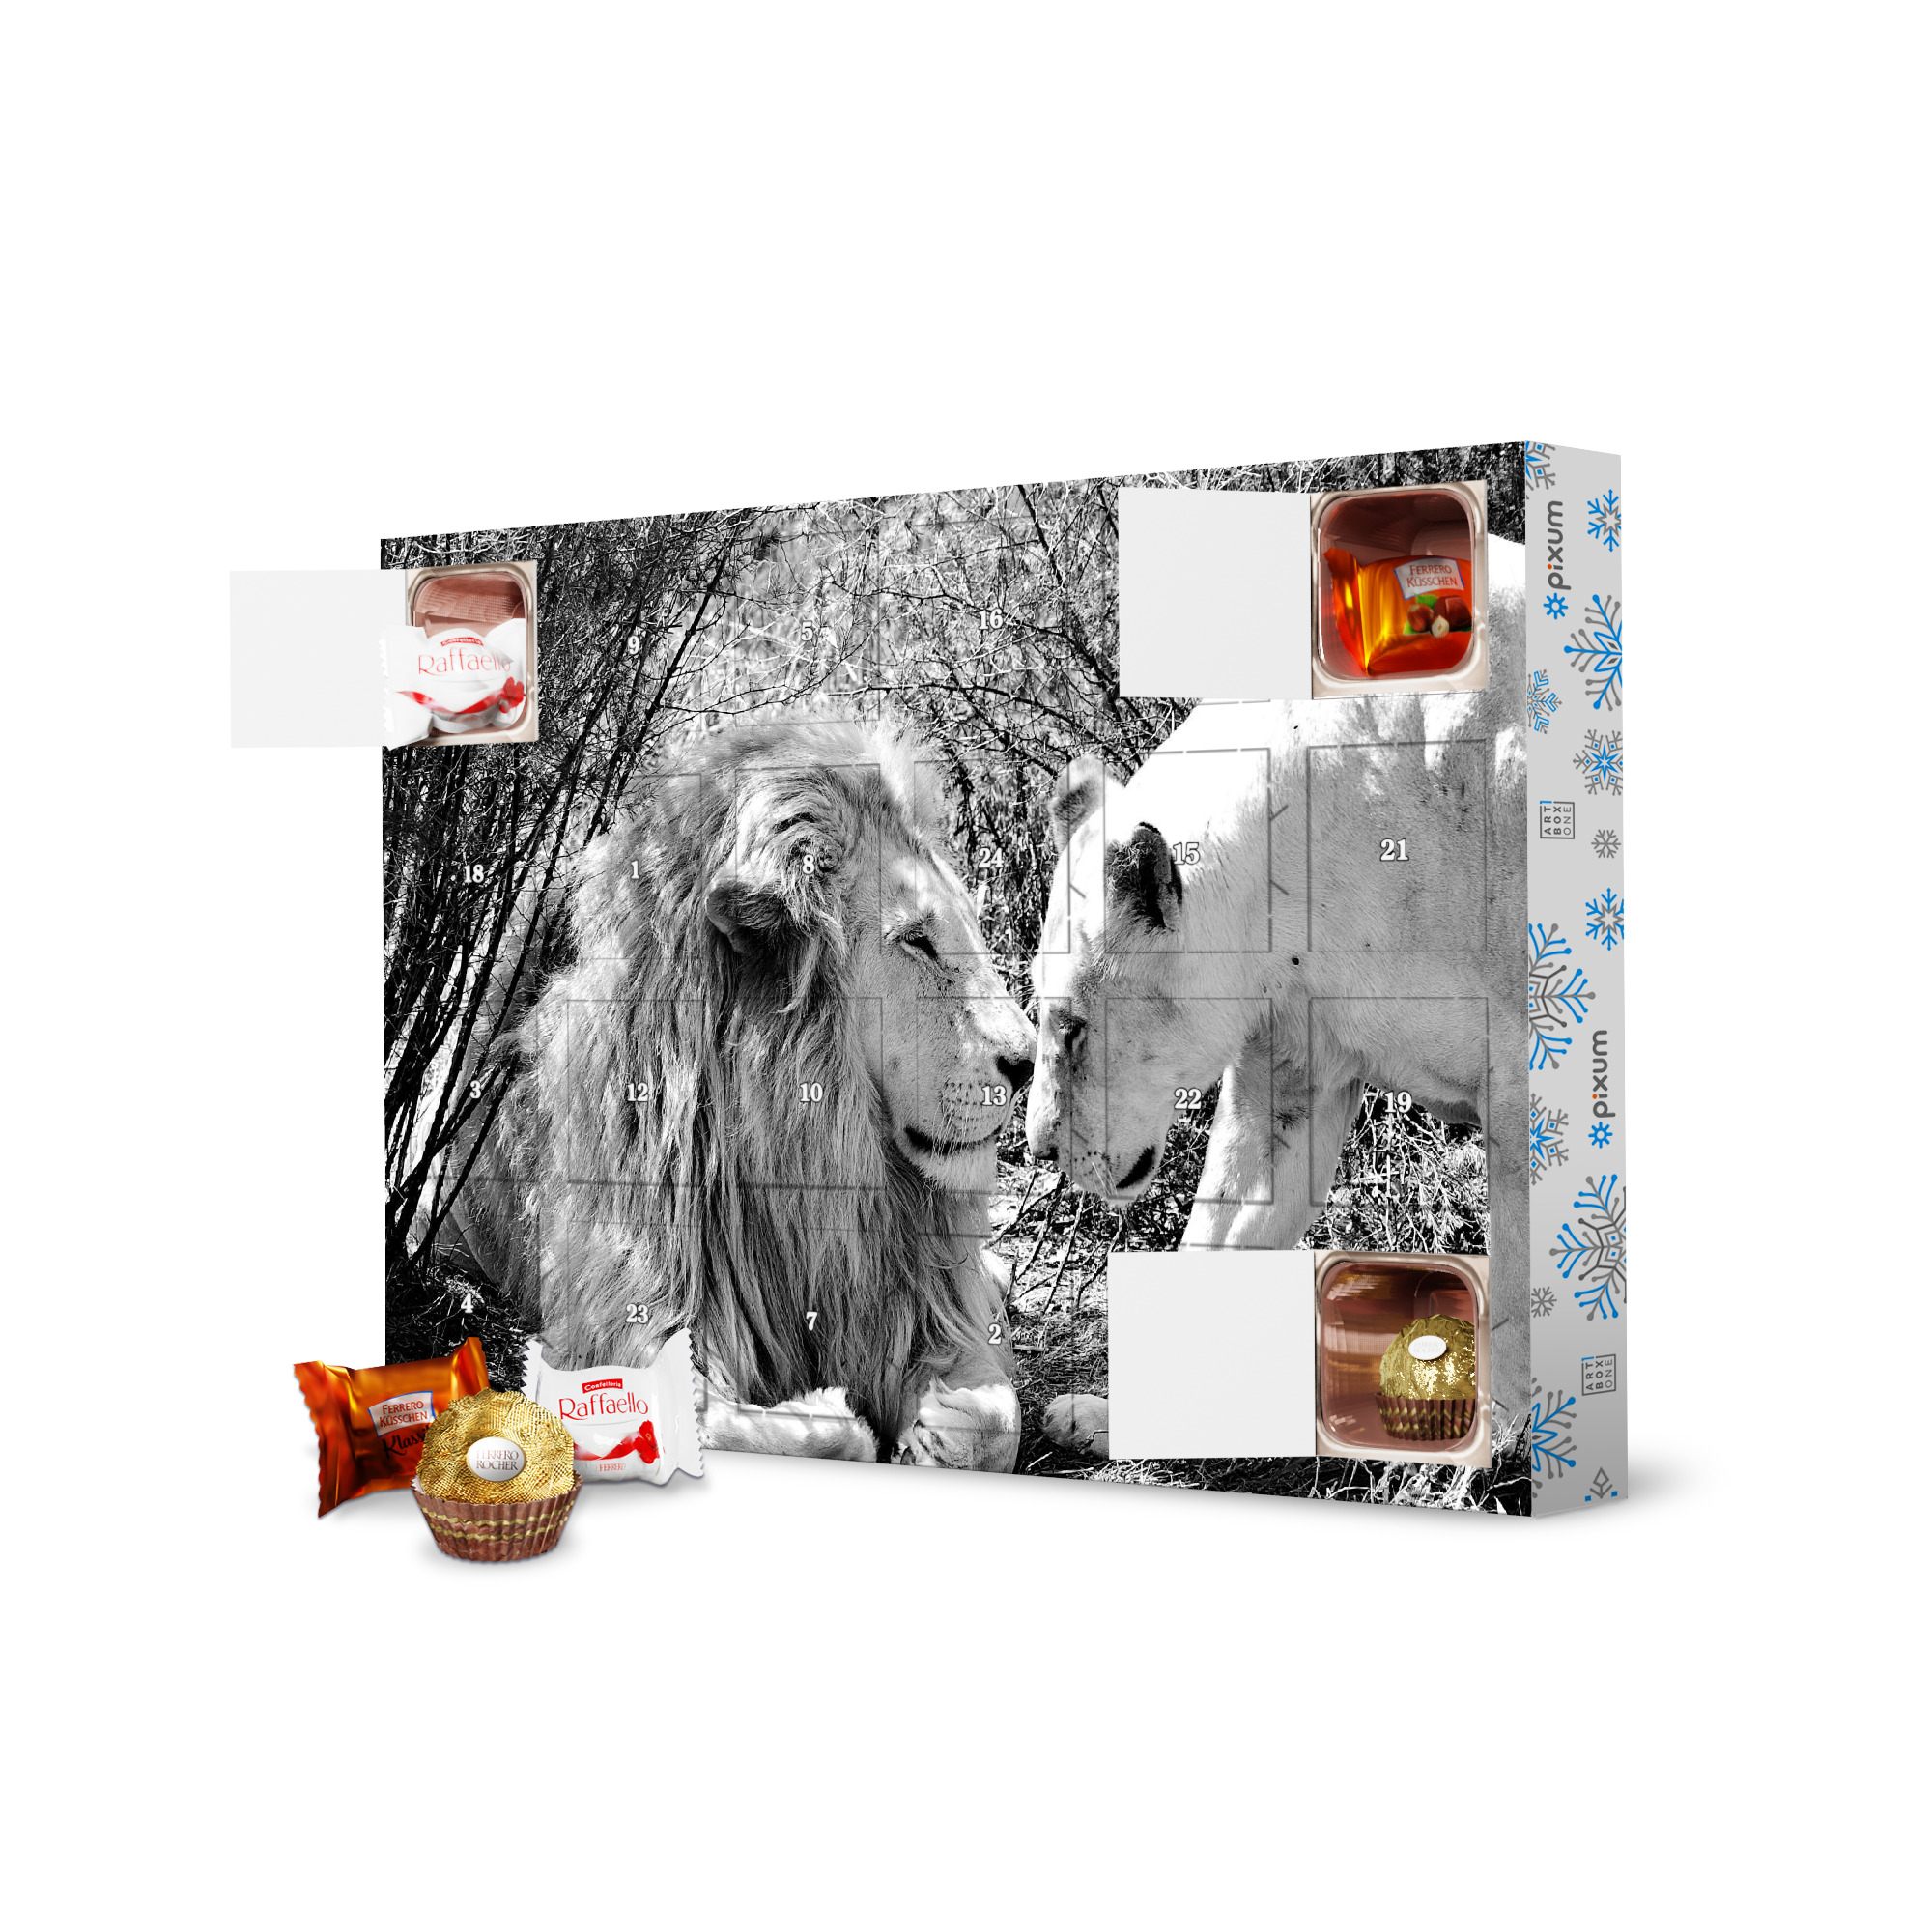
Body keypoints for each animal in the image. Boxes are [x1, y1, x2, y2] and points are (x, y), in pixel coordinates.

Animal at [446, 717, 1037, 1470]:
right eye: (917, 942)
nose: (1028, 1062)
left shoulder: (929, 1303)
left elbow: (993, 1423)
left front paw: (931, 1438)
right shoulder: (622, 1317)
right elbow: (748, 1428)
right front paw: (832, 1409)